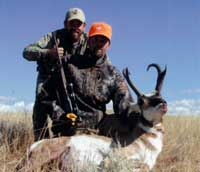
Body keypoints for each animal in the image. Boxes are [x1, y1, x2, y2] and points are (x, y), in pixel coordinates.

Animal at [16, 63, 167, 172]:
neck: (143, 142)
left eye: (159, 95)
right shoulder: (111, 161)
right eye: (141, 101)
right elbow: (142, 166)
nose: (163, 103)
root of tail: (35, 145)